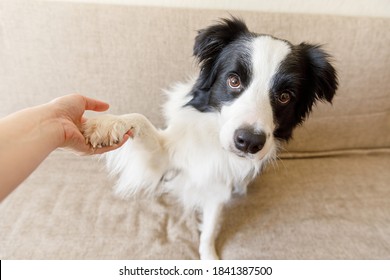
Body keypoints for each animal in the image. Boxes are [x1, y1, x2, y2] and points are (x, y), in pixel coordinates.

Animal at [83, 17, 338, 258]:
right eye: (234, 80)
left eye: (285, 96)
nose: (249, 142)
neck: (215, 142)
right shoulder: (164, 156)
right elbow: (140, 120)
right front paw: (105, 124)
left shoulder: (220, 183)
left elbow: (210, 227)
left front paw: (208, 256)